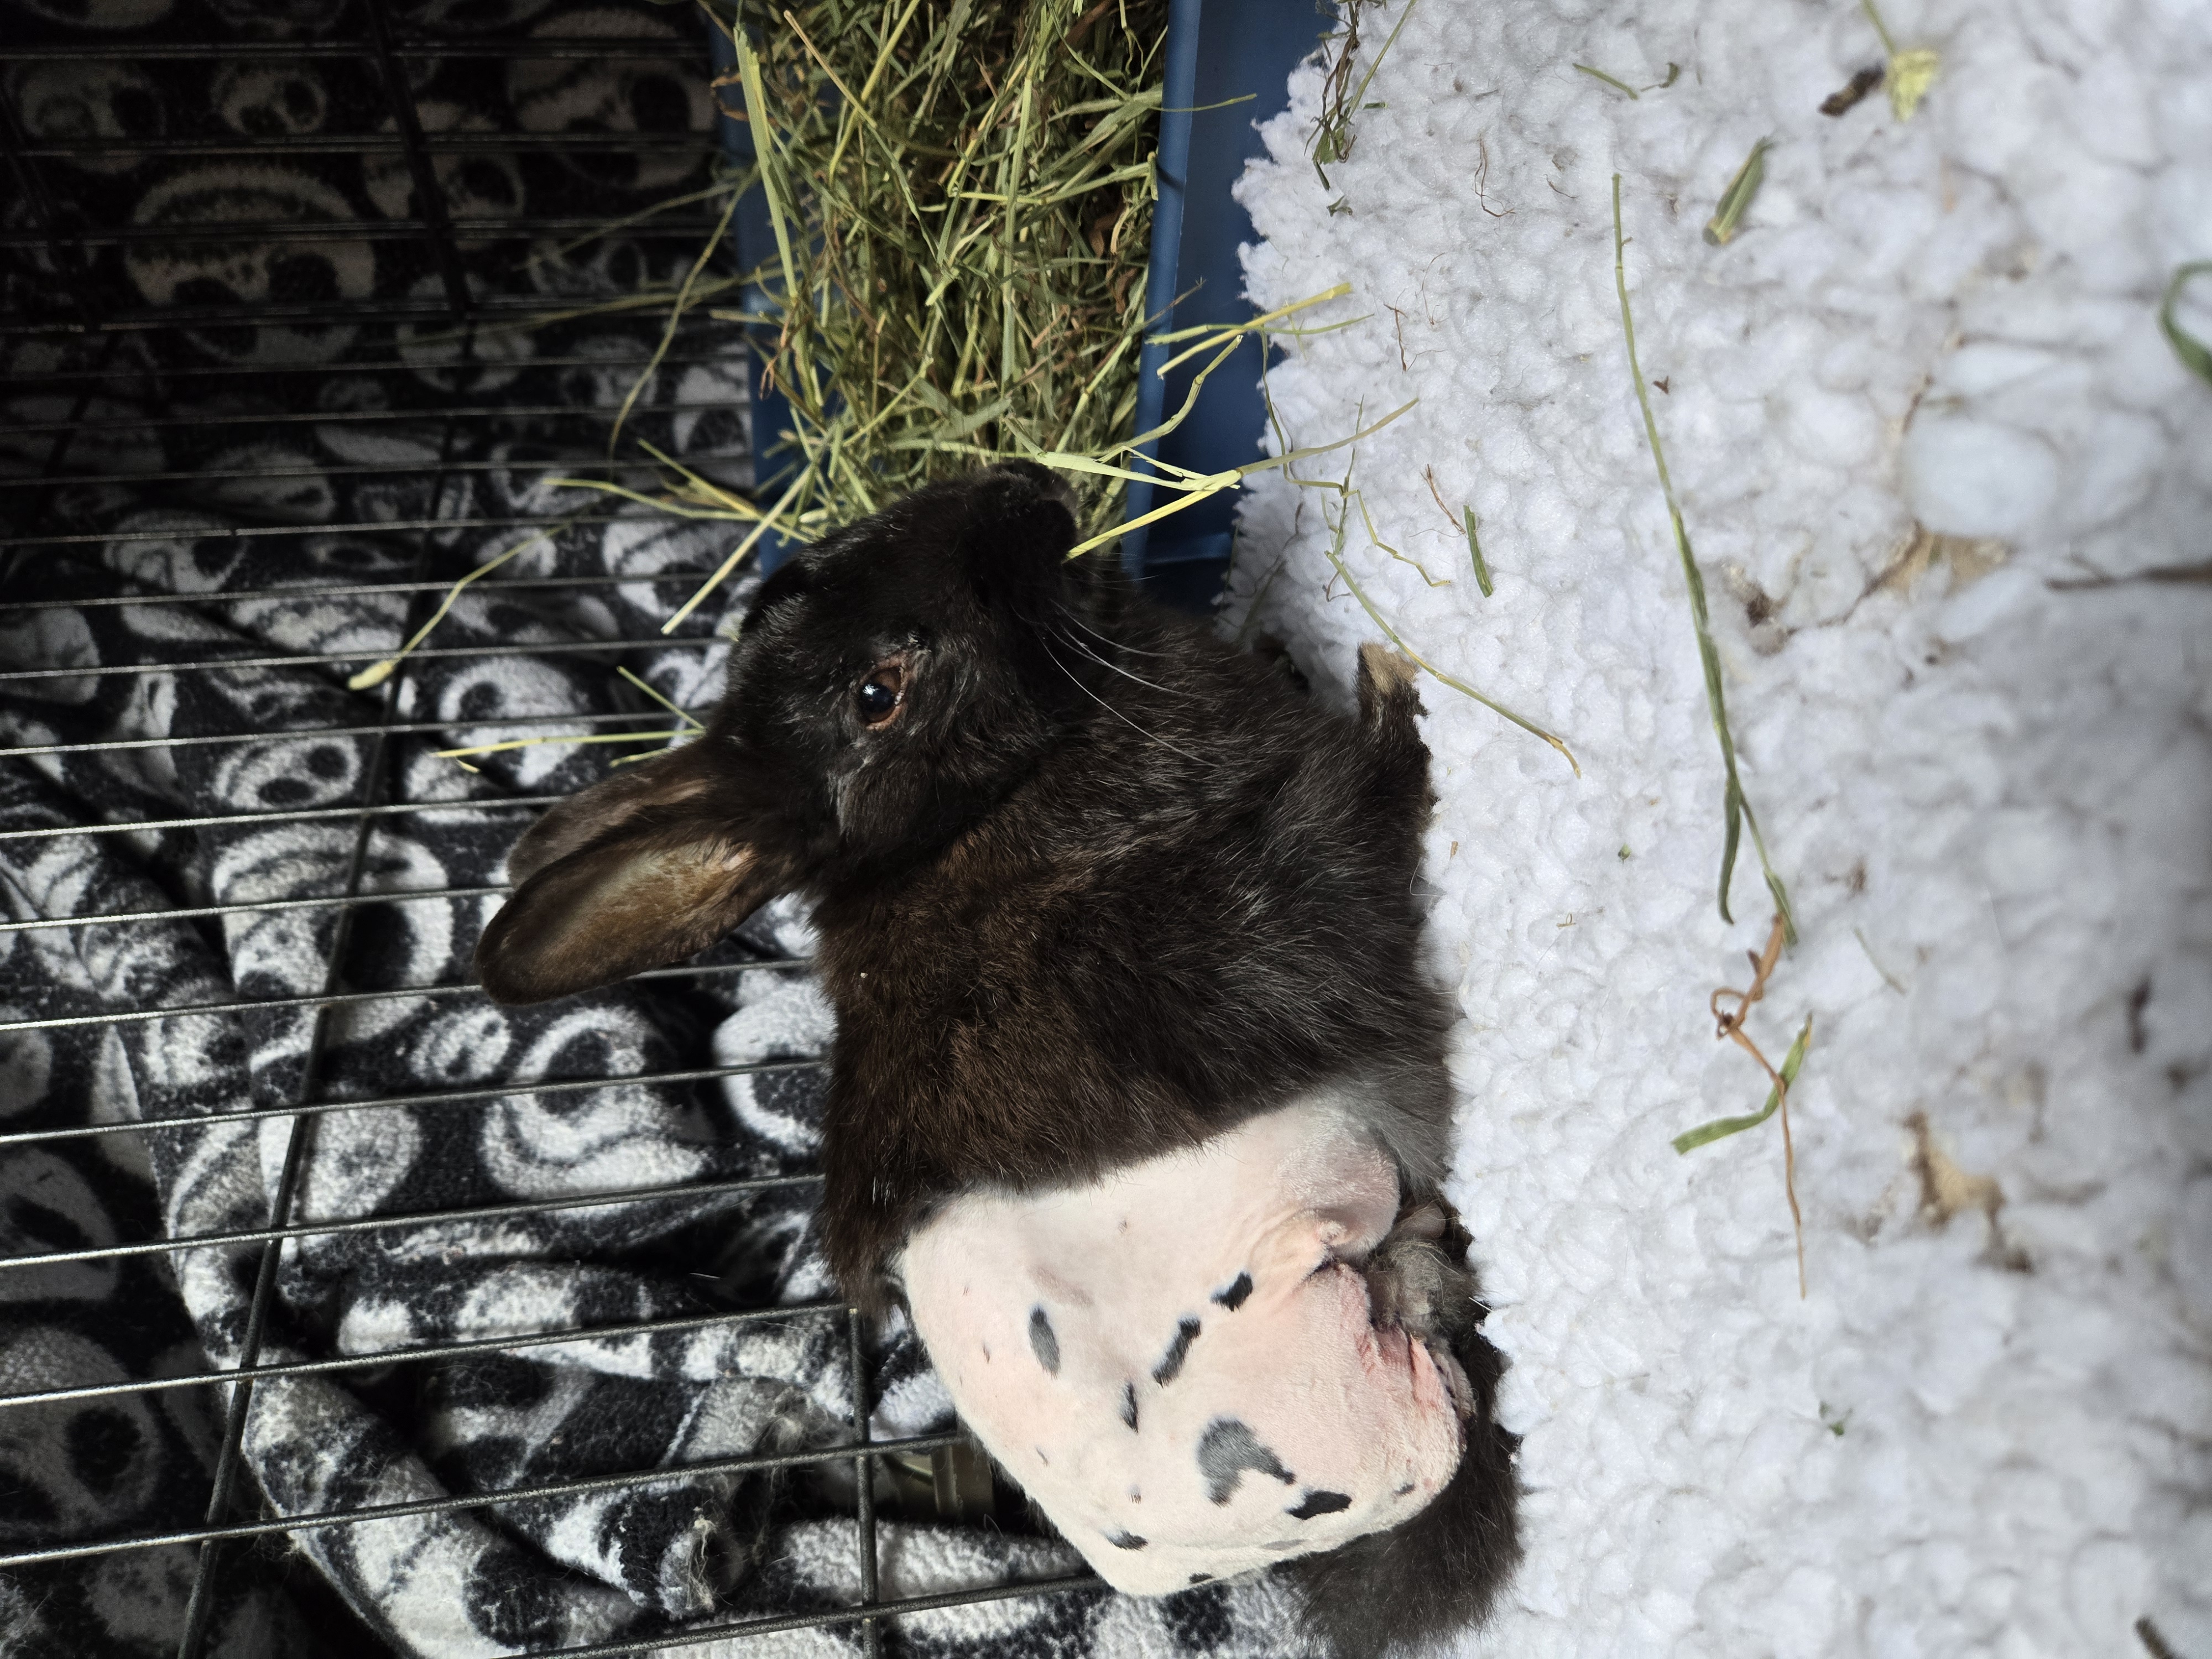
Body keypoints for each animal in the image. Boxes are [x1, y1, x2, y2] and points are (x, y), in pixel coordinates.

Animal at [475, 461, 1520, 1657]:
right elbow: (1391, 790)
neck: (973, 810)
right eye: (877, 693)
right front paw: (1393, 677)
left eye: (824, 559)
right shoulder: (1319, 865)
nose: (1022, 488)